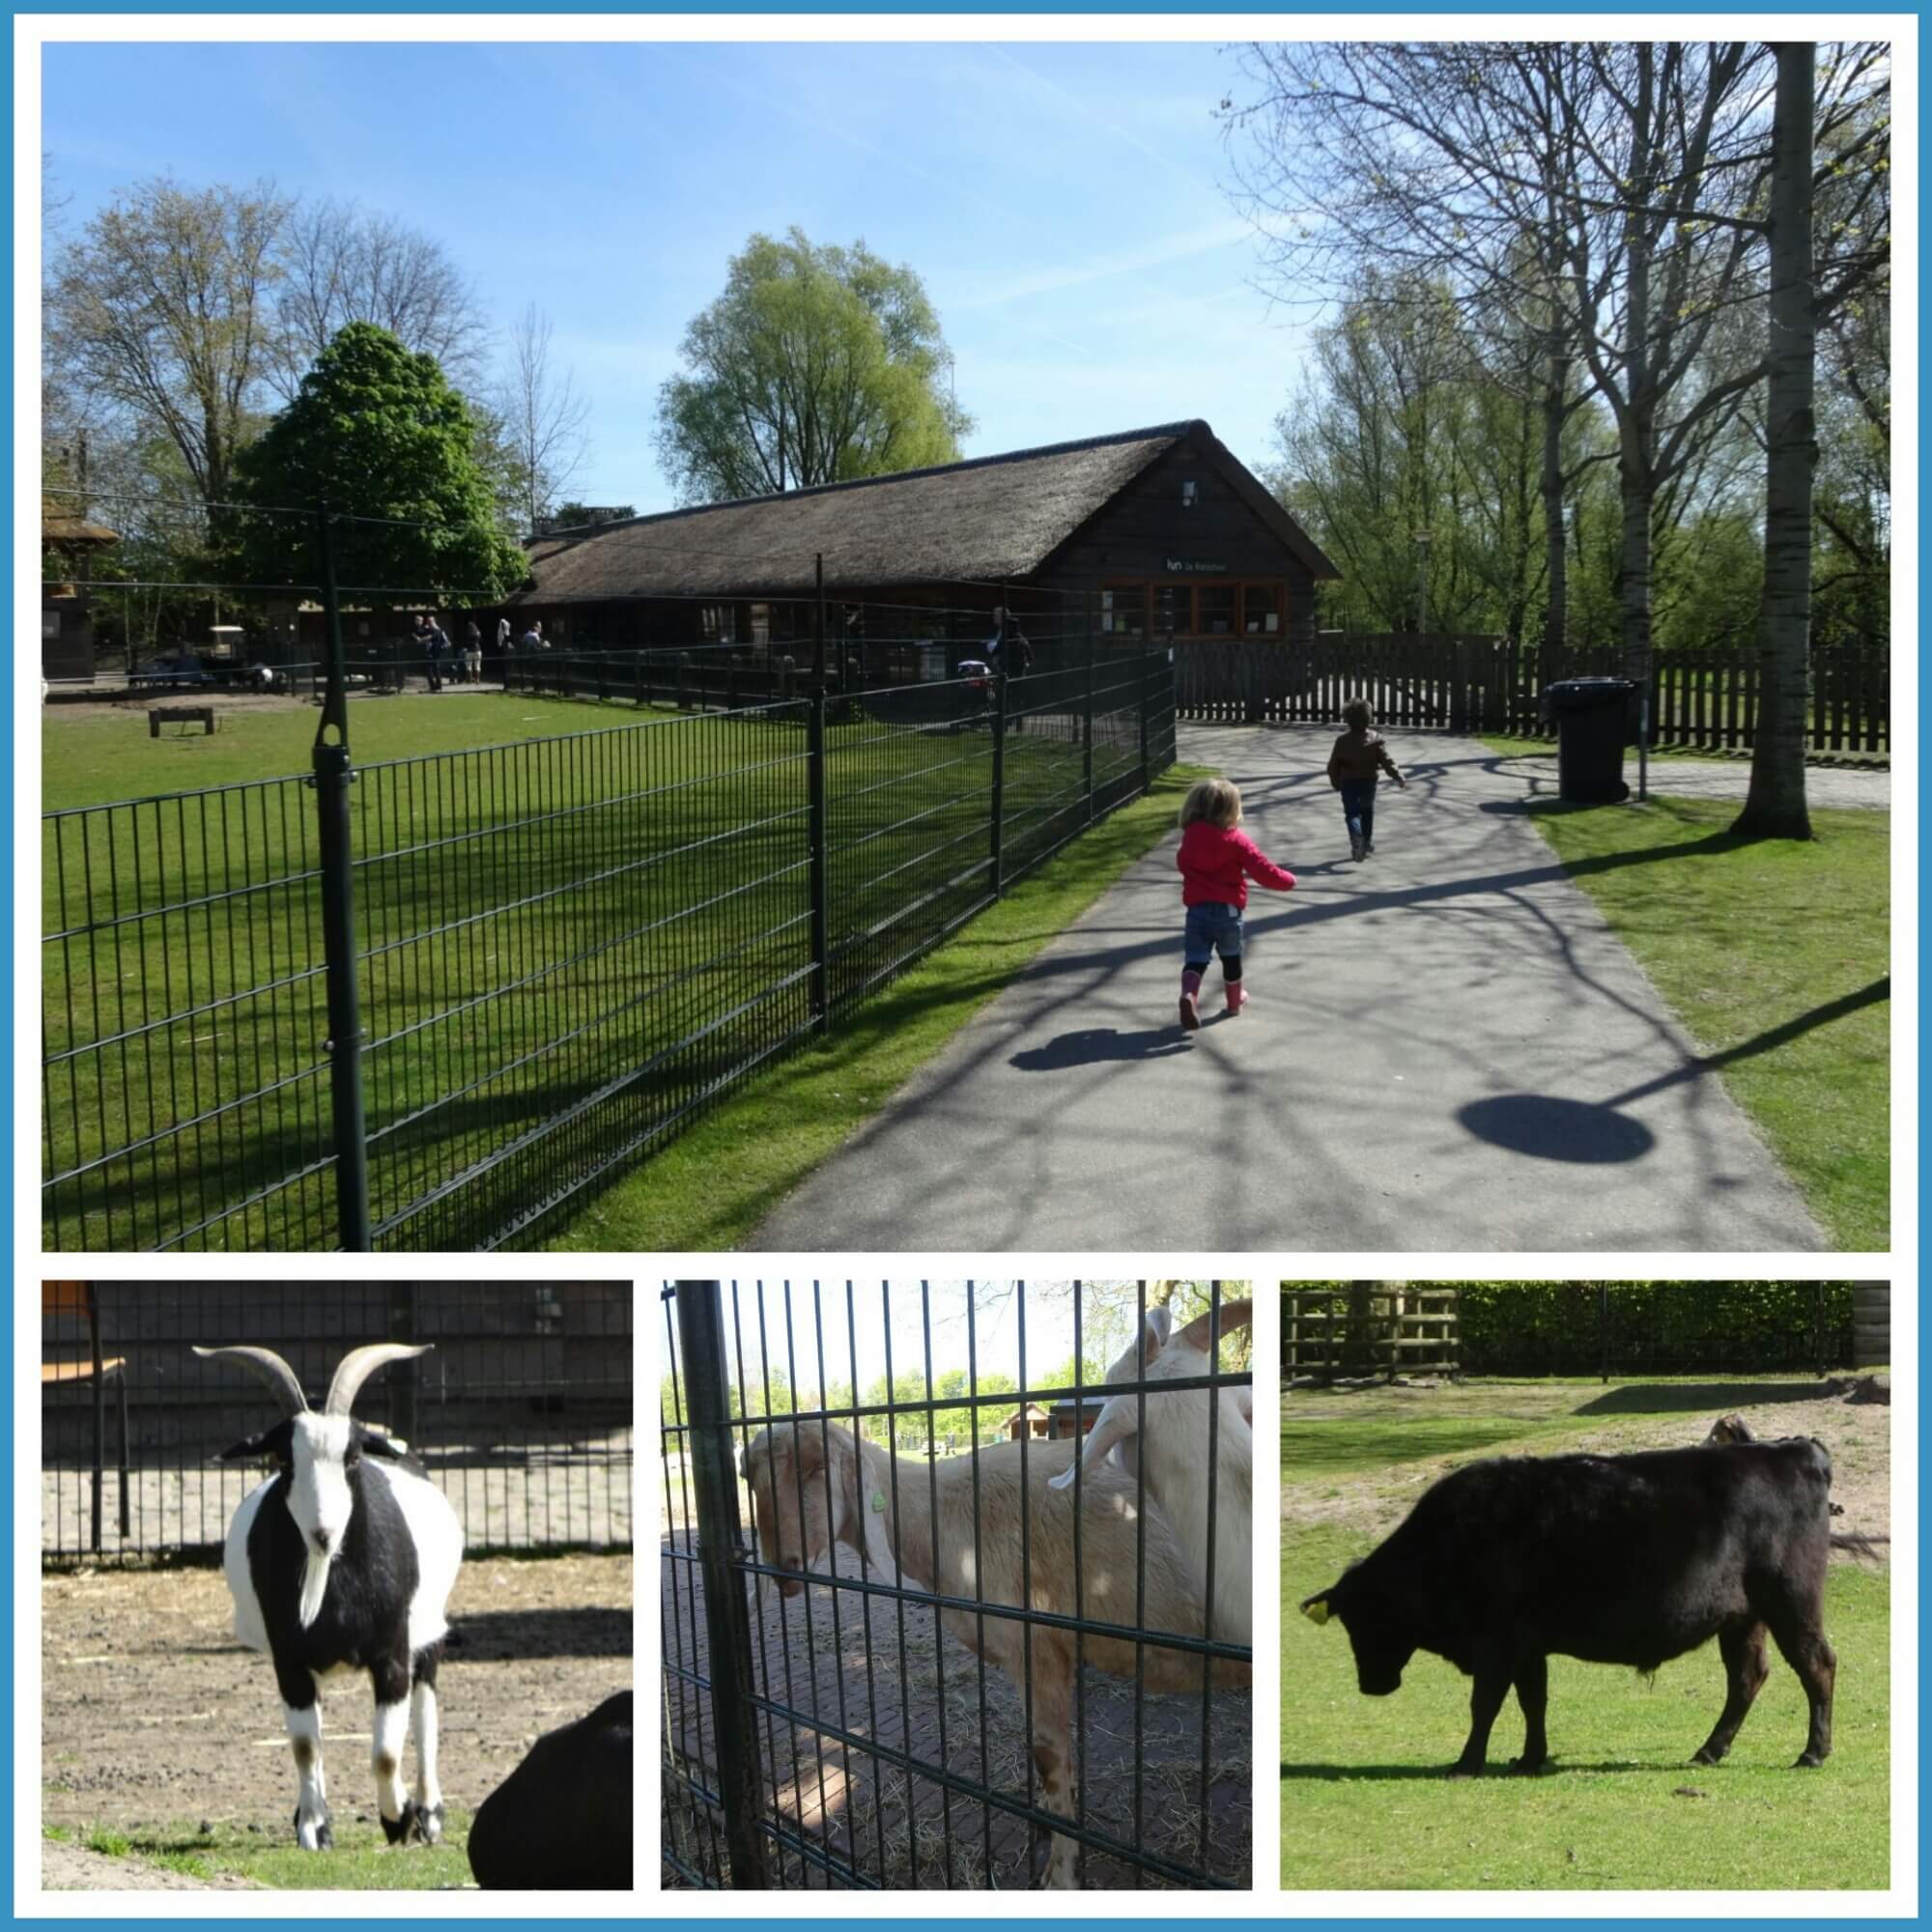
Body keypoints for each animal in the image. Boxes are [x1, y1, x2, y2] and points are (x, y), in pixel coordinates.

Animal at [195, 1345, 464, 1855]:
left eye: (353, 1457)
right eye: (284, 1460)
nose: (322, 1533)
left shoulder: (392, 1655)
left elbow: (385, 1752)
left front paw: (400, 1818)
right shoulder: (290, 1661)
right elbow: (306, 1747)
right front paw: (314, 1828)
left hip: (429, 1634)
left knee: (425, 1711)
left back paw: (431, 1813)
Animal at [730, 1422, 1244, 1886]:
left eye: (818, 1467)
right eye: (749, 1479)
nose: (786, 1569)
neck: (942, 1515)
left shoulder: (1038, 1649)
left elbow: (1049, 1759)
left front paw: (1060, 1875)